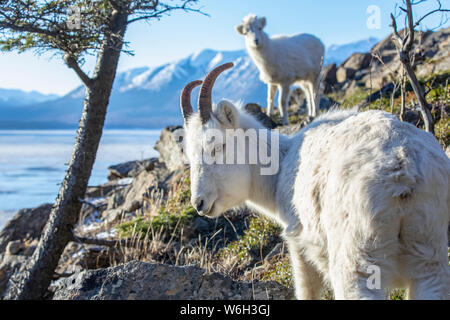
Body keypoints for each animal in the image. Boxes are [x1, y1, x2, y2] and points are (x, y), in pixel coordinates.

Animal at [180, 63, 450, 300]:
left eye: (217, 146)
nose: (199, 203)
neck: (283, 161)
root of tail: (403, 171)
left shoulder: (299, 244)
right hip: (429, 259)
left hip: (357, 261)